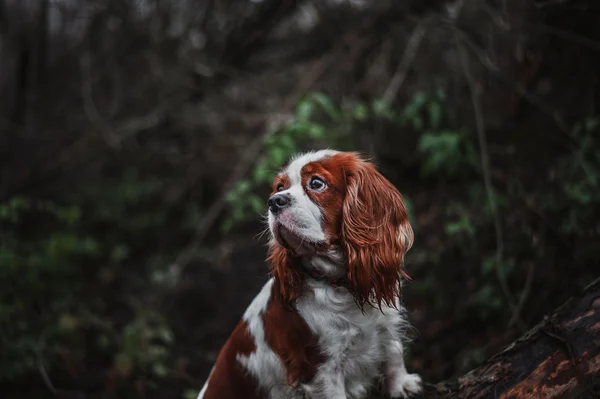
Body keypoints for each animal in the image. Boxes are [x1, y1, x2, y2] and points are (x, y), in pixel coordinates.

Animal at [197, 151, 422, 399]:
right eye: (279, 187)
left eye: (316, 183)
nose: (274, 201)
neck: (341, 284)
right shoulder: (321, 367)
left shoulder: (386, 323)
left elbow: (393, 351)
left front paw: (401, 385)